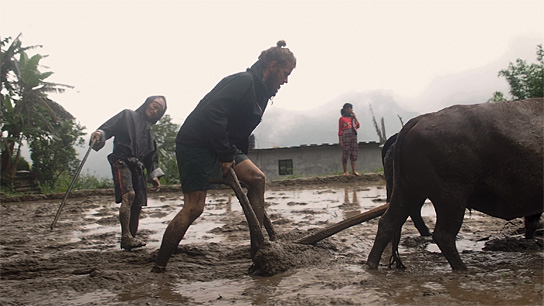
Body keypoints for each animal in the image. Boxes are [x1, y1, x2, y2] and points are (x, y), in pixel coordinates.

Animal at [368, 98, 540, 270]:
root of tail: (418, 120)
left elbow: (531, 223)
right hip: (451, 197)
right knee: (443, 234)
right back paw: (461, 267)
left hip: (407, 190)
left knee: (389, 221)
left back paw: (372, 263)